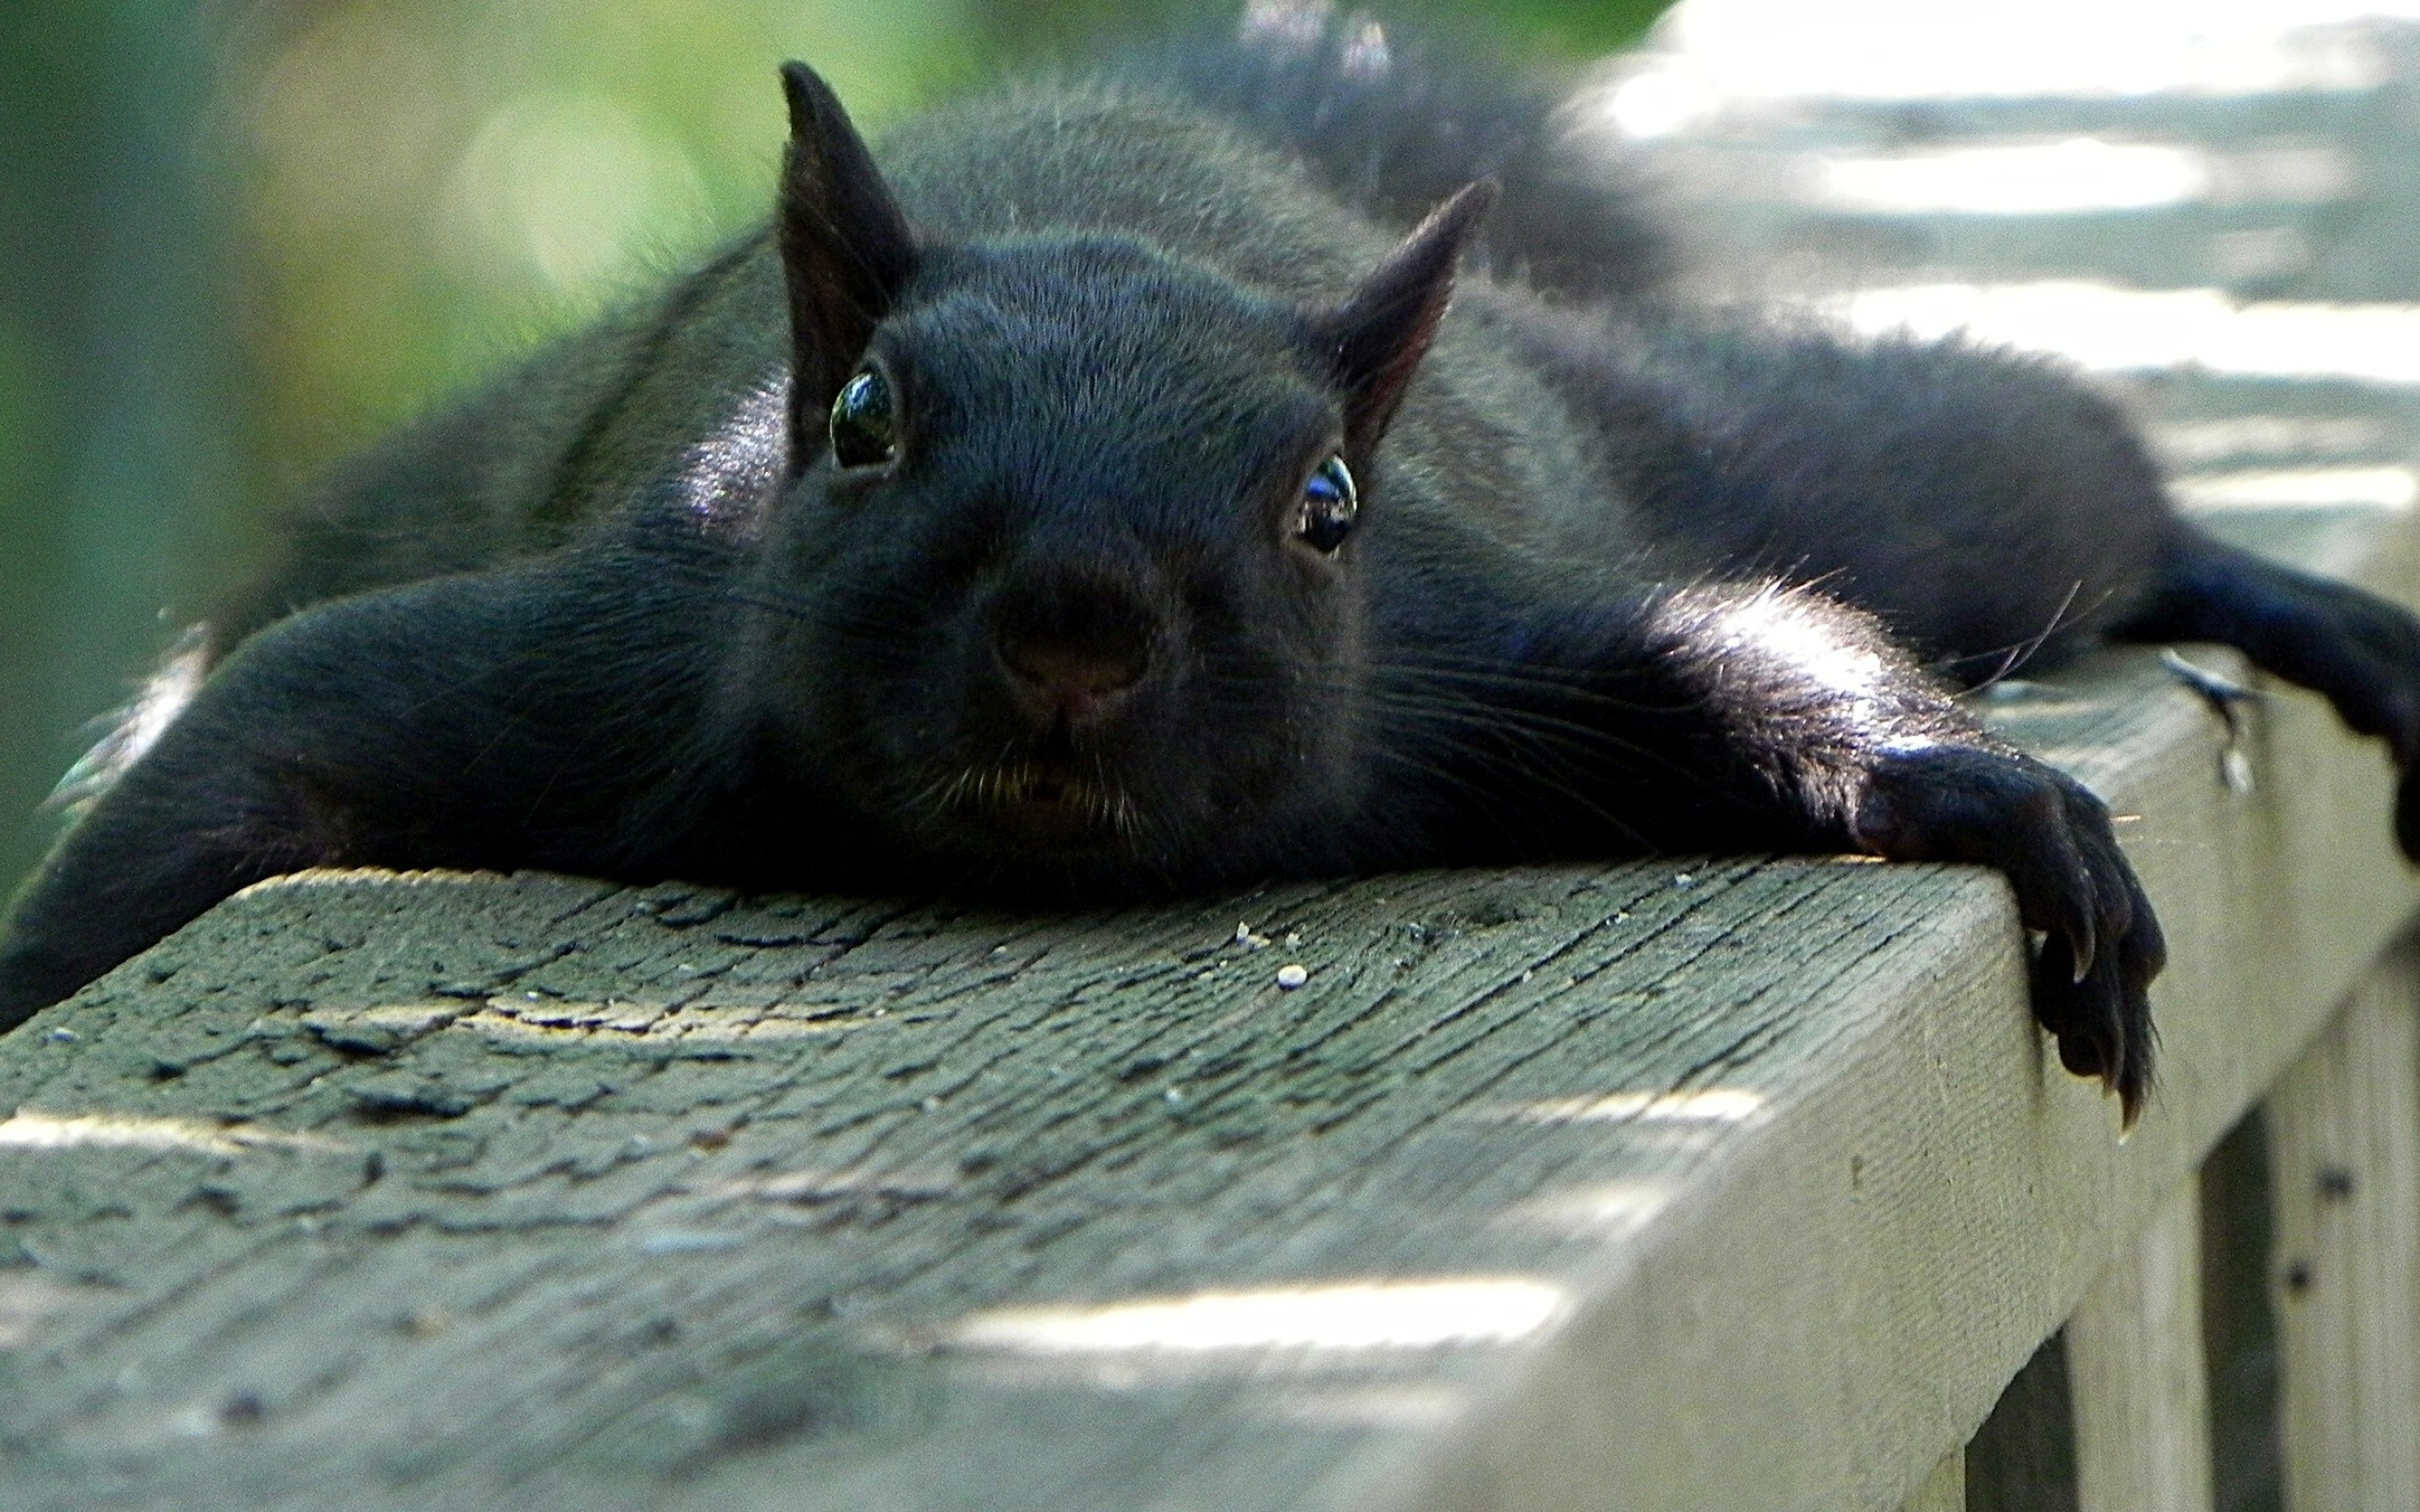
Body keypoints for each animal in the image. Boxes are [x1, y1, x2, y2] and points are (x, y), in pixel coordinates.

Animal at [5, 14, 2420, 1122]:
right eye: (857, 422)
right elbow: (244, 750)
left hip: (1730, 453)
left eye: (1322, 506)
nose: (1074, 623)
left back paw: (2284, 601)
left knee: (2023, 485)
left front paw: (1982, 793)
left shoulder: (1477, 635)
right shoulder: (608, 639)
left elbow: (1748, 650)